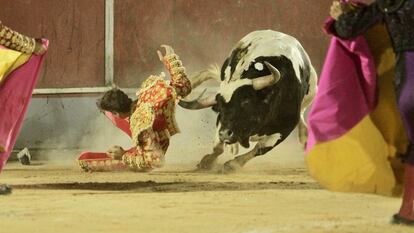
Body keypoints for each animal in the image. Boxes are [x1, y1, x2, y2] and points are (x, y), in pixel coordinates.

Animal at [180, 30, 318, 172]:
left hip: (311, 93)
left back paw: (304, 138)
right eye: (219, 107)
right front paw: (207, 161)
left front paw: (233, 165)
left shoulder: (285, 127)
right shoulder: (222, 121)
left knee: (301, 113)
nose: (225, 134)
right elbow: (217, 147)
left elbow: (261, 148)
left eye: (246, 102)